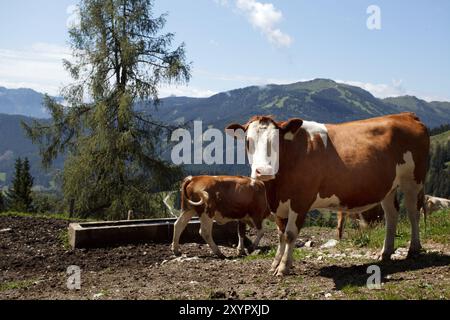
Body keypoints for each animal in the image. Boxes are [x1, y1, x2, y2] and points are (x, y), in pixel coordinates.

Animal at [227, 112, 430, 276]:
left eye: (277, 141)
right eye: (248, 142)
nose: (264, 171)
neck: (276, 187)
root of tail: (406, 115)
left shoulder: (301, 200)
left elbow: (290, 234)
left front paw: (283, 267)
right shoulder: (278, 205)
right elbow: (280, 235)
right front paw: (275, 264)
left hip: (413, 180)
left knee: (413, 212)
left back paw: (413, 248)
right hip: (388, 186)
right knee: (392, 214)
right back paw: (386, 252)